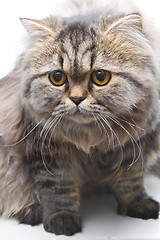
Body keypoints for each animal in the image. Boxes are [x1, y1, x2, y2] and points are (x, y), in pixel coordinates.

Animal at [0, 0, 160, 236]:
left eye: (100, 77)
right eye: (57, 77)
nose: (76, 99)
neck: (90, 137)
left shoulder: (134, 145)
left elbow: (130, 181)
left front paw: (137, 204)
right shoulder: (48, 151)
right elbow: (59, 189)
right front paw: (61, 219)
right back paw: (30, 211)